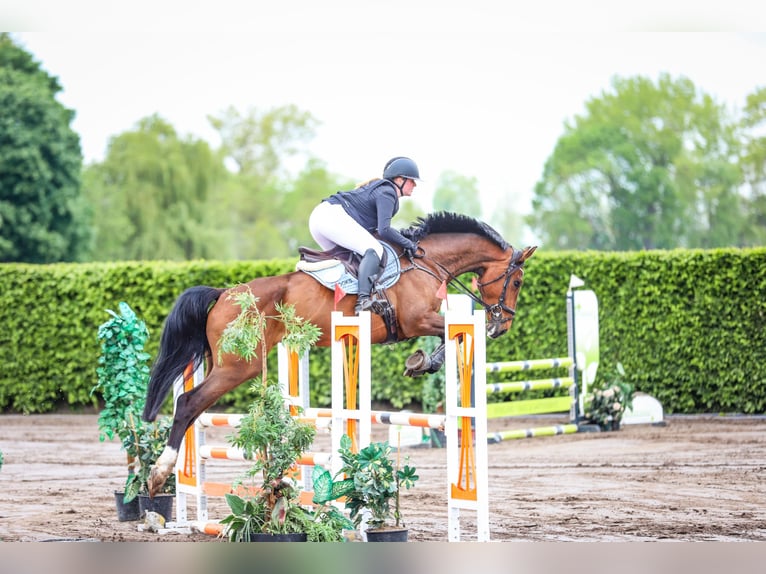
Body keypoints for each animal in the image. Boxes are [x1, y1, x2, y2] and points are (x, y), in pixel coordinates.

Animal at [142, 211, 537, 496]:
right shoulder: (417, 320)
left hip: (223, 364)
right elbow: (449, 335)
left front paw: (420, 362)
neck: (428, 263)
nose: (502, 326)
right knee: (188, 403)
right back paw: (159, 474)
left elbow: (449, 336)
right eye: (517, 282)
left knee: (197, 411)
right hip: (239, 367)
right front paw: (424, 361)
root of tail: (224, 293)